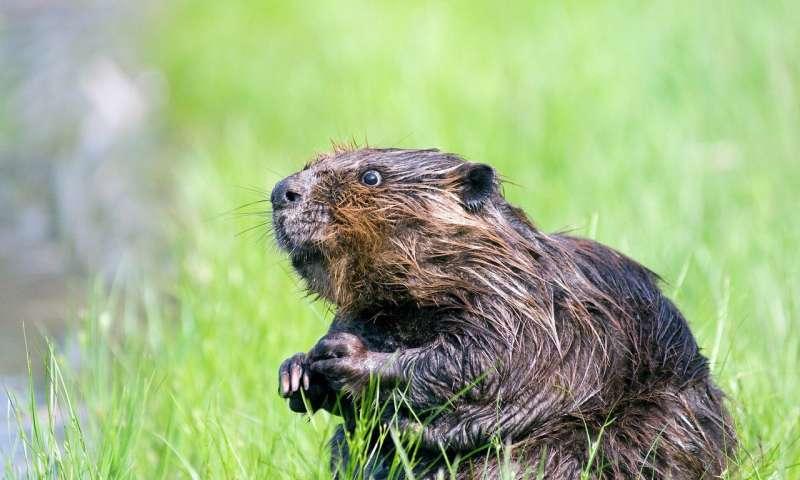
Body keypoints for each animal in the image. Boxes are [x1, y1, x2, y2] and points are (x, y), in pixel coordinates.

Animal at [272, 148, 736, 478]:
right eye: (310, 163)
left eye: (371, 176)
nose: (281, 191)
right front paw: (297, 370)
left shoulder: (525, 308)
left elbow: (478, 362)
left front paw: (343, 356)